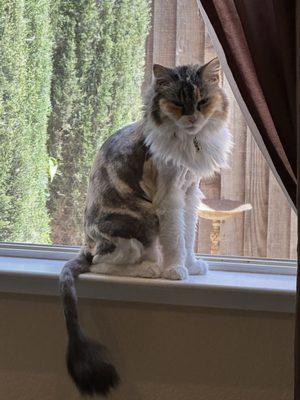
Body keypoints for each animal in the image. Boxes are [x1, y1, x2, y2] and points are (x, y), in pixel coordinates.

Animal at [58, 57, 232, 396]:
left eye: (202, 102)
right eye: (177, 103)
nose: (192, 118)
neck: (189, 141)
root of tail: (85, 244)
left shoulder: (190, 194)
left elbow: (188, 236)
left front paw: (192, 266)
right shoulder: (170, 196)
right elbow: (176, 239)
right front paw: (176, 271)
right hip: (141, 223)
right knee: (101, 265)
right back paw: (150, 270)